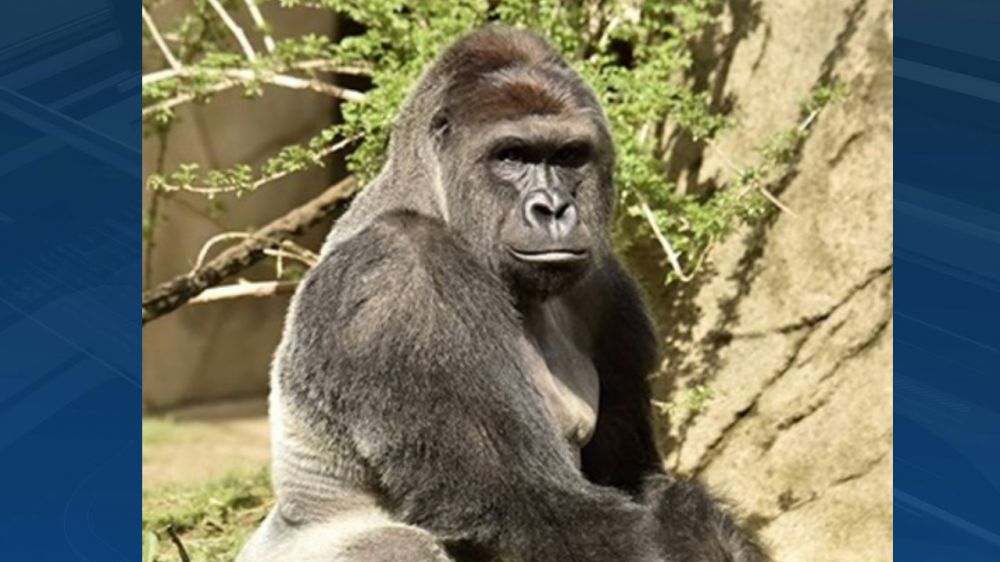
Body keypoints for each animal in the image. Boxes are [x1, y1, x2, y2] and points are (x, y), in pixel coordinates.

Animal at [238, 25, 766, 562]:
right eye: (512, 155)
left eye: (569, 156)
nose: (552, 209)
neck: (433, 200)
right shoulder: (403, 280)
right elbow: (535, 506)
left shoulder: (606, 289)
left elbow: (635, 481)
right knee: (395, 543)